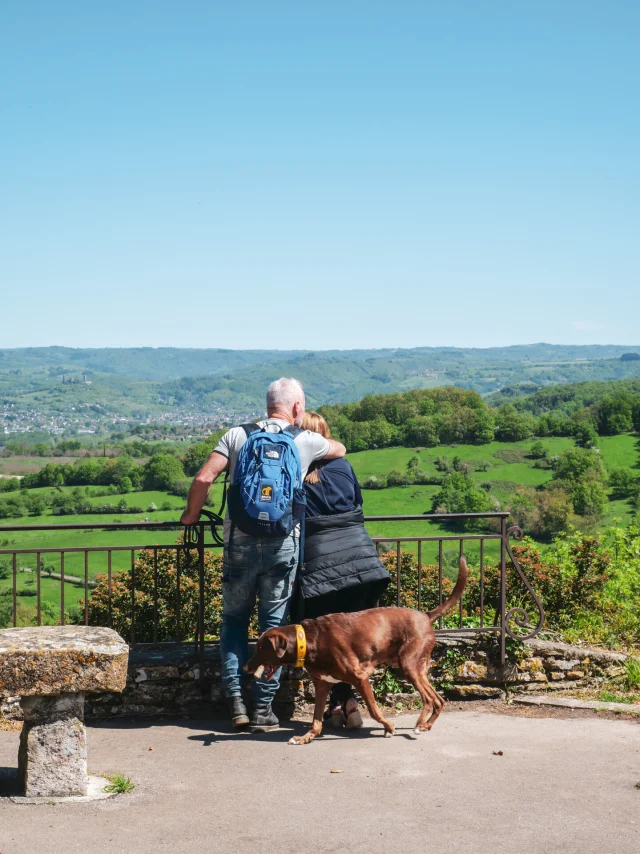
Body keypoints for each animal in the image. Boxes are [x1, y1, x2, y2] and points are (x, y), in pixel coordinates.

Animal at [242, 560, 468, 744]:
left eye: (261, 648)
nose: (245, 668)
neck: (309, 640)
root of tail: (426, 616)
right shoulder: (322, 684)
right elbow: (316, 720)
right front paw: (305, 737)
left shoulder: (360, 677)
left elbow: (374, 710)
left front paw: (389, 727)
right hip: (418, 668)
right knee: (438, 699)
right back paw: (426, 725)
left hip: (409, 665)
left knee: (428, 699)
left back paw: (420, 724)